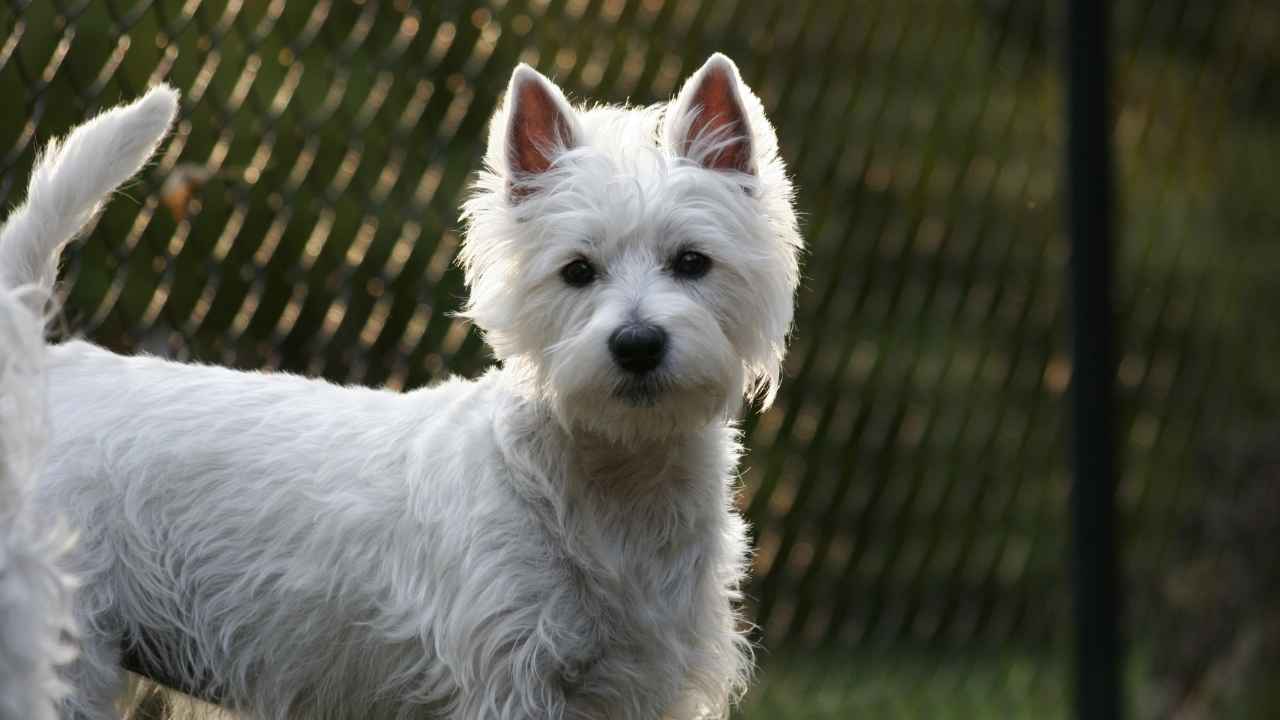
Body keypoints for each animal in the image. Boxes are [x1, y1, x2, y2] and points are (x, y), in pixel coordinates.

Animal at [2, 53, 798, 712]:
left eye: (692, 262)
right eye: (577, 270)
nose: (637, 345)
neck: (615, 487)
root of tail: (38, 367)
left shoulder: (641, 683)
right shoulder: (507, 680)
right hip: (59, 640)